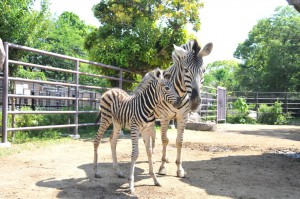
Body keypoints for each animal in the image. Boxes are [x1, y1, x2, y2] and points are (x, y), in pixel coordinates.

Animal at [155, 39, 213, 176]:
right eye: (186, 70)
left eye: (203, 71)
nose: (195, 103)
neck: (179, 93)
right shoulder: (164, 117)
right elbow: (164, 140)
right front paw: (162, 167)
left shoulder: (183, 117)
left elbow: (179, 141)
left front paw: (179, 169)